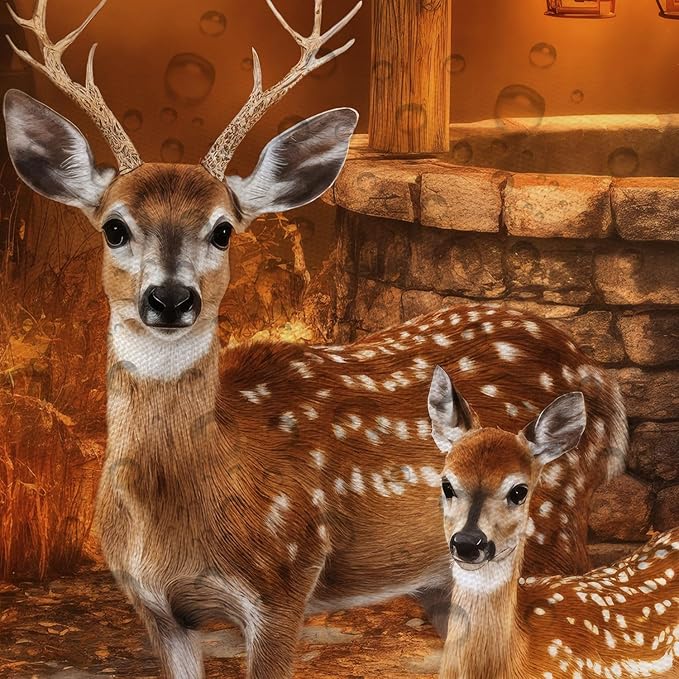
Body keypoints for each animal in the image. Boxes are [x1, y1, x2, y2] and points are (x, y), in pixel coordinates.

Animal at [3, 1, 629, 677]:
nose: (170, 299)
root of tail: (600, 381)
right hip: (447, 578)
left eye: (223, 229)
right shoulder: (156, 610)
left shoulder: (284, 581)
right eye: (115, 228)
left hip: (551, 529)